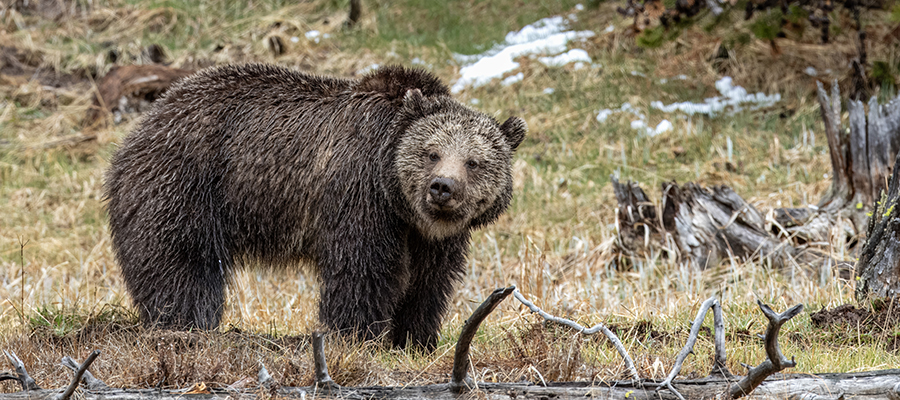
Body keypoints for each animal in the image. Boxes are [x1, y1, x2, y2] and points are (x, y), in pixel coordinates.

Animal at [104, 64, 526, 349]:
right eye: (431, 153)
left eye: (474, 161)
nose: (442, 188)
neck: (399, 202)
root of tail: (139, 128)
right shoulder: (359, 195)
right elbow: (361, 270)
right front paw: (356, 335)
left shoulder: (432, 238)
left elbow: (427, 282)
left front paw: (413, 339)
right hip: (183, 187)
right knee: (180, 266)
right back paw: (185, 325)